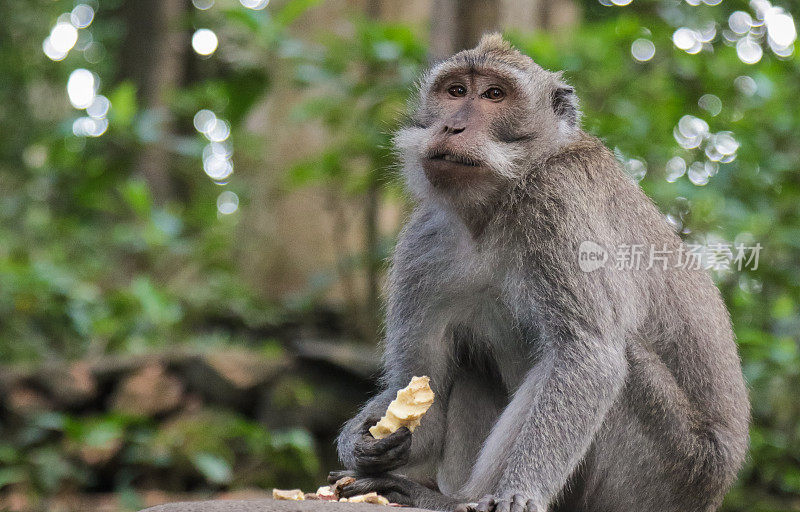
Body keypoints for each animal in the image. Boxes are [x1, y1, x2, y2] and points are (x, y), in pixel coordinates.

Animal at [326, 33, 752, 512]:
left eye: (494, 94)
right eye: (455, 91)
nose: (452, 127)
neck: (497, 208)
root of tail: (712, 493)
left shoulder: (557, 205)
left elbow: (589, 357)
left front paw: (519, 491)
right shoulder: (424, 243)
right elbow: (421, 387)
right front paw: (362, 439)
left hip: (669, 471)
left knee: (610, 357)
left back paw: (452, 500)